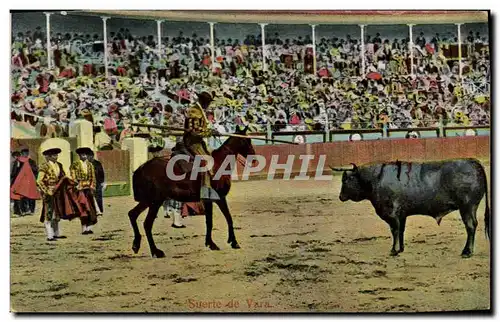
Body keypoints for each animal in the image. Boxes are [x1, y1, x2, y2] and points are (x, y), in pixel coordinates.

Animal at [127, 127, 256, 258]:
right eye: (246, 141)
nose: (254, 159)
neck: (219, 165)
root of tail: (142, 167)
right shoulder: (216, 199)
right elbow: (218, 220)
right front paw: (223, 243)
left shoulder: (214, 200)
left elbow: (218, 219)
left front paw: (221, 243)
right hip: (155, 201)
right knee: (147, 223)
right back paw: (155, 251)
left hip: (148, 200)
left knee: (132, 214)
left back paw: (136, 245)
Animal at [334, 159, 490, 260]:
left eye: (346, 180)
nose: (340, 196)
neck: (376, 179)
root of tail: (474, 162)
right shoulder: (401, 215)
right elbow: (401, 230)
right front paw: (400, 248)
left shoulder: (391, 213)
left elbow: (395, 230)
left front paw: (394, 250)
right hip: (470, 207)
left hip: (467, 206)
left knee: (470, 226)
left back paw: (466, 252)